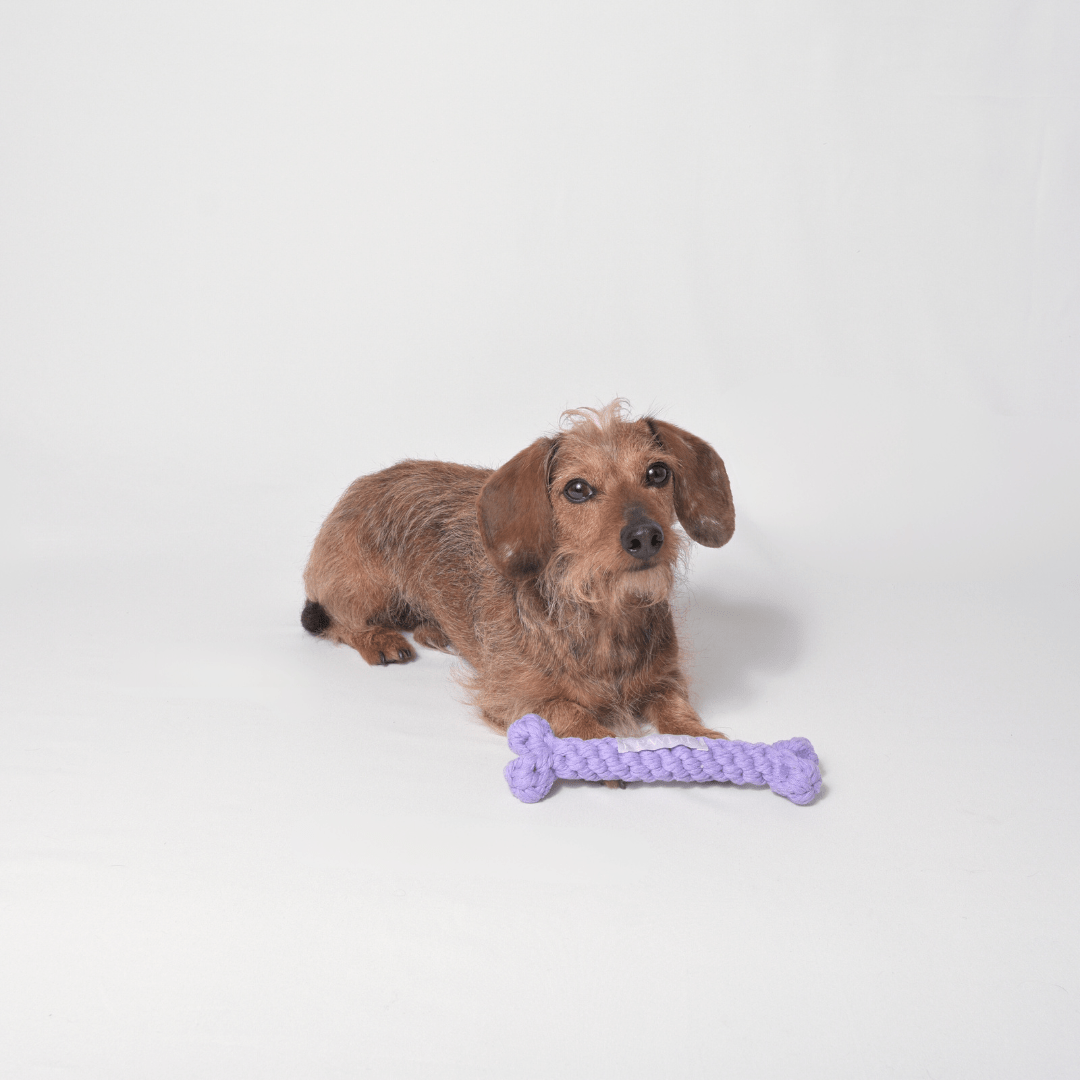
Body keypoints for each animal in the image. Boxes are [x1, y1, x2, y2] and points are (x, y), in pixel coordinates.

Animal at [304, 399, 734, 743]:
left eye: (657, 473)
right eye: (578, 489)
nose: (645, 536)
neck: (603, 616)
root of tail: (361, 486)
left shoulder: (665, 679)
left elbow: (676, 706)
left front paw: (700, 737)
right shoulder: (515, 697)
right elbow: (569, 709)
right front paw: (601, 746)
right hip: (363, 589)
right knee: (336, 620)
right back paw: (377, 638)